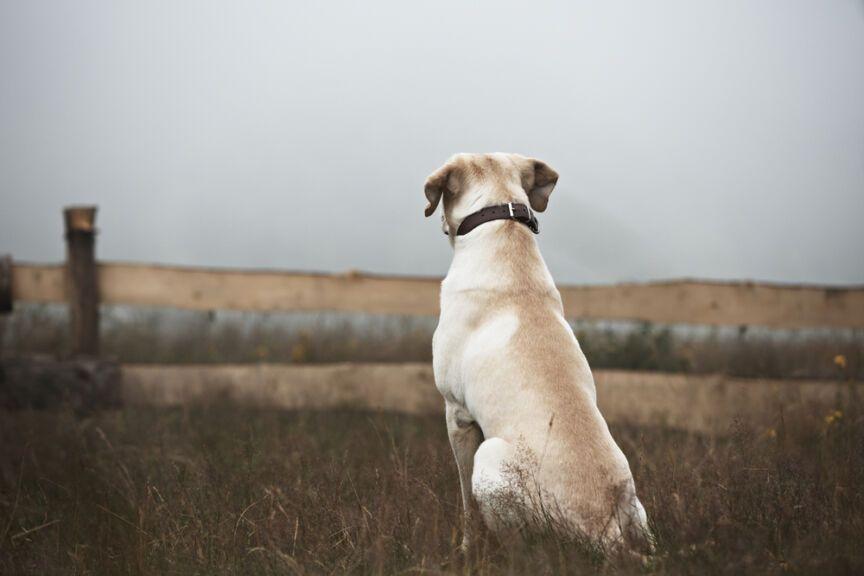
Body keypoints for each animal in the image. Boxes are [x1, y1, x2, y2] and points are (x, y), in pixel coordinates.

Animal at [422, 152, 652, 548]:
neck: (502, 228)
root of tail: (606, 531)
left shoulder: (457, 413)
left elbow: (467, 506)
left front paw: (466, 548)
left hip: (489, 458)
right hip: (638, 508)